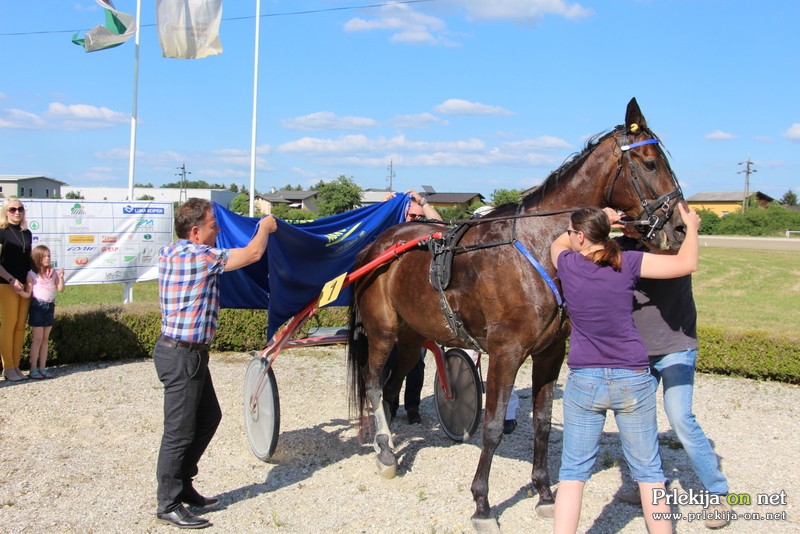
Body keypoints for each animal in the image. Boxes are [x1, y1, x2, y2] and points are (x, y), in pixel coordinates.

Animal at [346, 98, 684, 532]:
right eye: (650, 163)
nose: (679, 228)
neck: (539, 247)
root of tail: (378, 243)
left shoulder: (550, 351)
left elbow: (542, 422)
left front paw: (544, 493)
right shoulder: (505, 353)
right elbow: (491, 427)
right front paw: (482, 504)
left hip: (410, 336)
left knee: (391, 385)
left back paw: (387, 443)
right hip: (383, 331)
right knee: (374, 383)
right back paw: (386, 452)